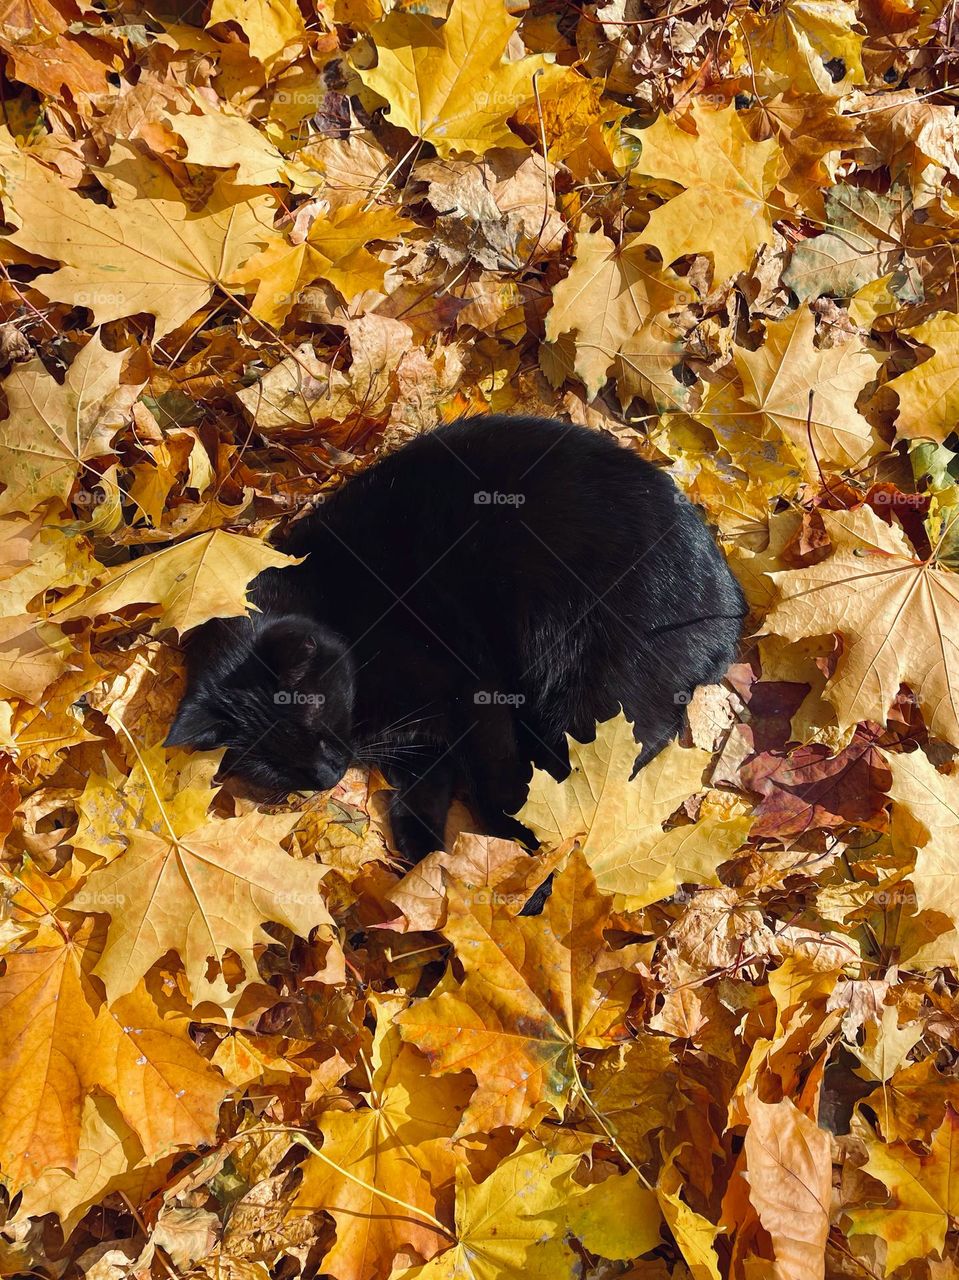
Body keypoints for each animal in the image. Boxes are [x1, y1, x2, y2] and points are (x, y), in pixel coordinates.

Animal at [167, 414, 742, 865]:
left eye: (315, 717)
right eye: (270, 763)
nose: (328, 774)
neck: (337, 605)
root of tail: (730, 603)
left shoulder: (473, 690)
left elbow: (494, 782)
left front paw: (509, 848)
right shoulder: (422, 738)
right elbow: (421, 792)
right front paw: (426, 862)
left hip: (590, 695)